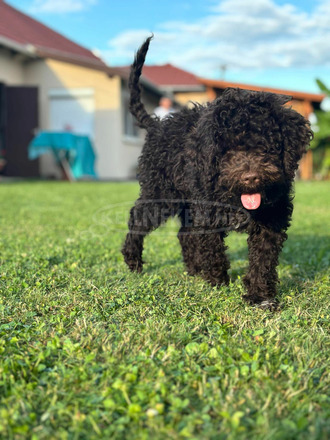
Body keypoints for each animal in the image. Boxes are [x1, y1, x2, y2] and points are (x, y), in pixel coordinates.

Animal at [122, 36, 312, 308]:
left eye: (267, 145)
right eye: (227, 149)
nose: (250, 177)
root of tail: (157, 125)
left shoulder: (270, 218)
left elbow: (263, 260)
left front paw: (259, 296)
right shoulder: (208, 213)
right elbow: (212, 249)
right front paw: (218, 282)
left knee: (183, 233)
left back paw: (193, 270)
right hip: (161, 193)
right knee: (138, 218)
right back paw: (133, 261)